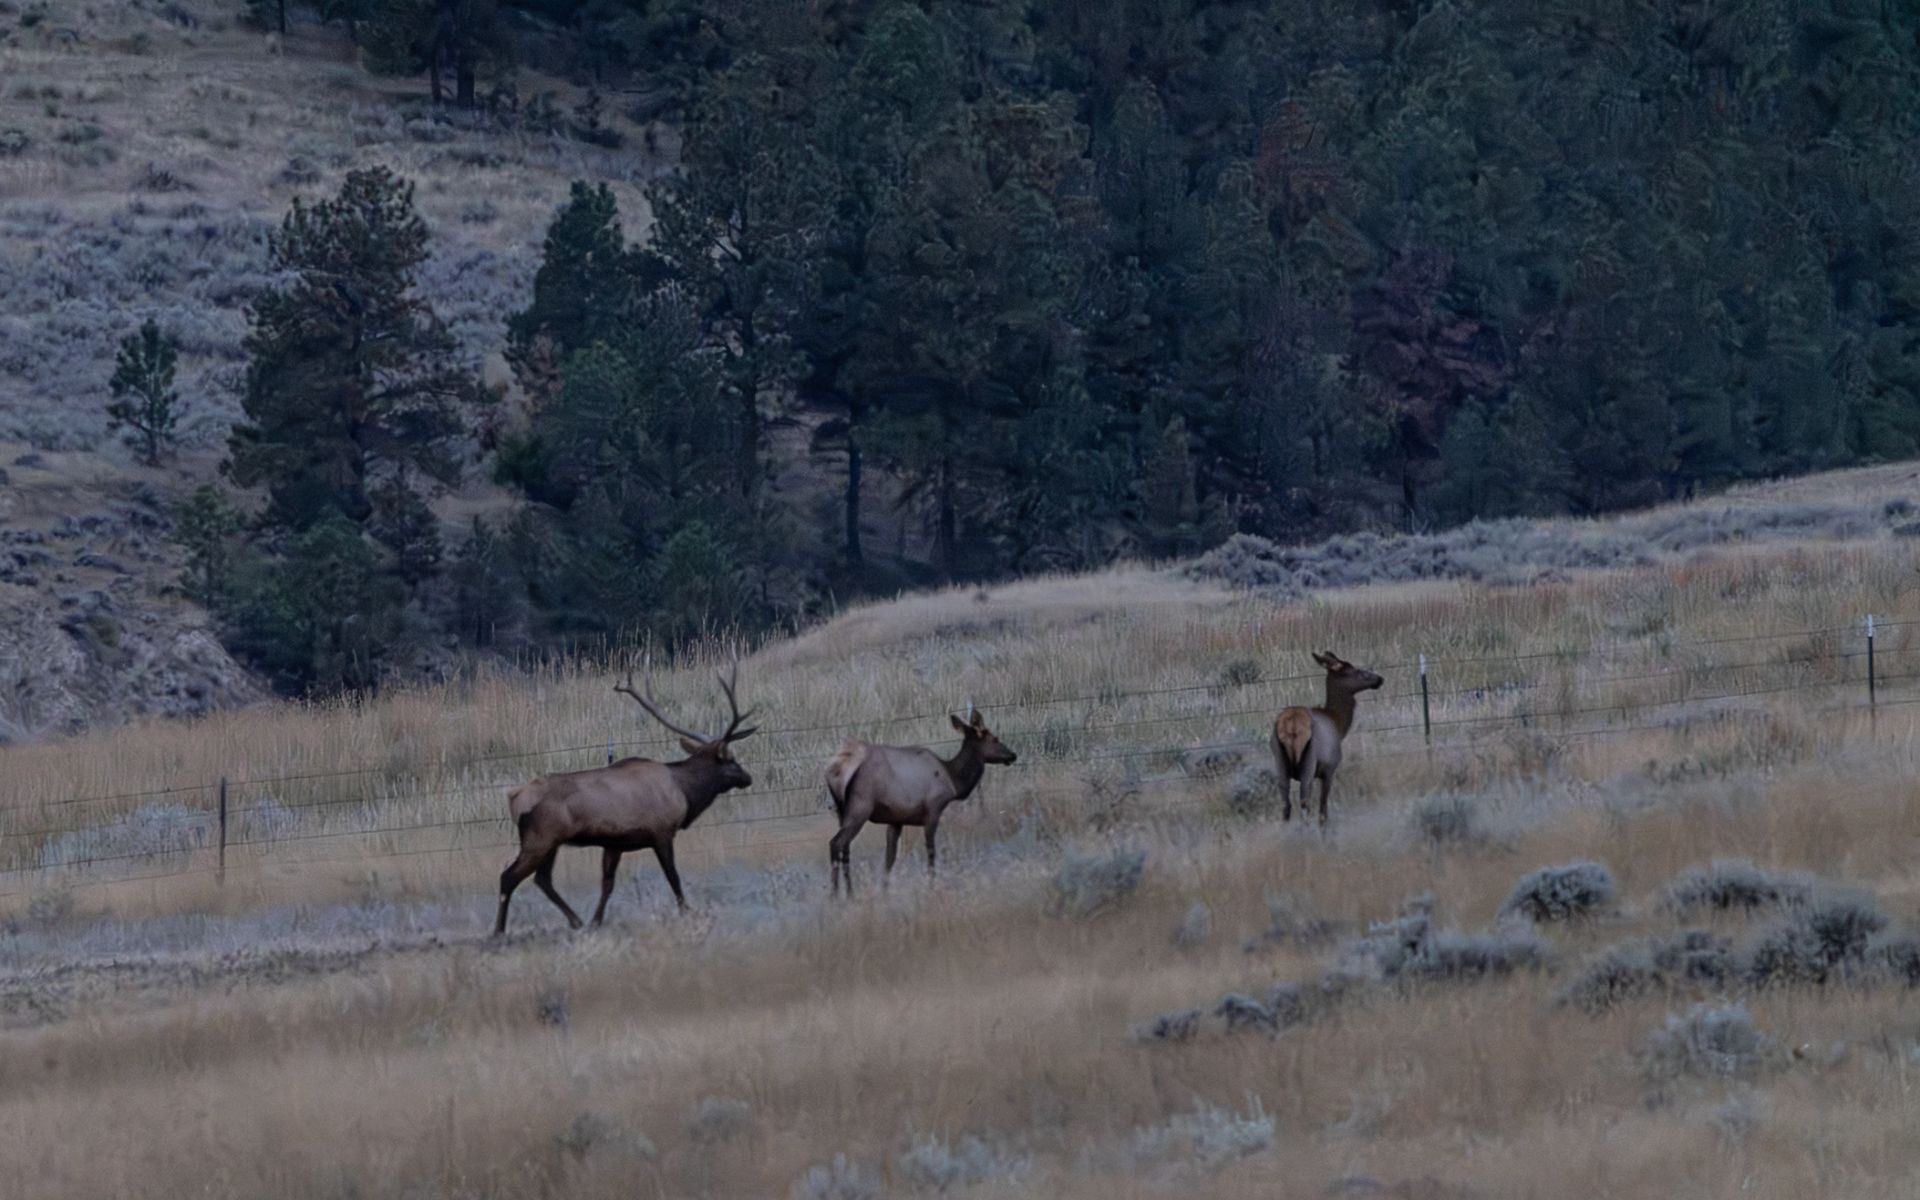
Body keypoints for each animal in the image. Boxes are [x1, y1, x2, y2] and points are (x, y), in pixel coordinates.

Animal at [493, 662, 758, 935]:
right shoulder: (661, 831)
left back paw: (576, 921)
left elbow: (607, 884)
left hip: (551, 842)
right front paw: (687, 911)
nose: (748, 778)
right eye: (731, 760)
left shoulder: (614, 842)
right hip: (540, 837)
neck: (684, 792)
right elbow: (672, 876)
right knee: (509, 876)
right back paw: (499, 931)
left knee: (542, 879)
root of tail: (514, 798)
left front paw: (596, 921)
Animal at [823, 704, 1017, 896]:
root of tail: (835, 769)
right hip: (860, 807)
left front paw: (884, 891)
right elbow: (931, 851)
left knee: (846, 848)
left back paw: (850, 893)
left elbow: (889, 859)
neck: (954, 781)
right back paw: (835, 895)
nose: (1013, 755)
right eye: (995, 739)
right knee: (836, 843)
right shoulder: (933, 810)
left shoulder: (896, 820)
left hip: (842, 811)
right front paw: (931, 885)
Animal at [1271, 650, 1384, 826]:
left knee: (1286, 806)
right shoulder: (1329, 768)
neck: (1338, 724)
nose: (1379, 679)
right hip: (1309, 762)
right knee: (1305, 803)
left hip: (1279, 762)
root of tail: (1291, 724)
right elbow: (1323, 811)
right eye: (1358, 672)